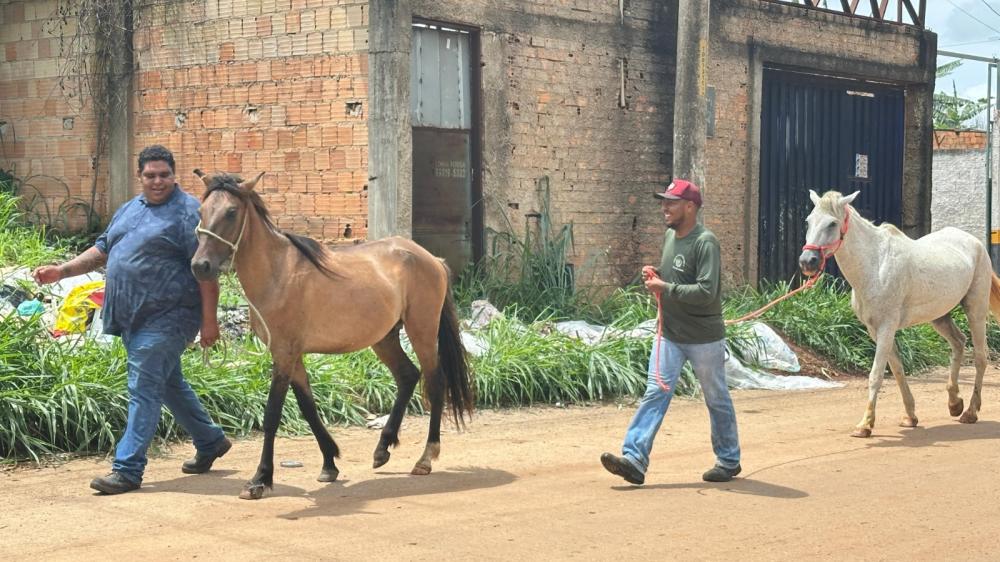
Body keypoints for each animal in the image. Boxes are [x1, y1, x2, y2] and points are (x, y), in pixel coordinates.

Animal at [189, 170, 474, 499]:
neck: (277, 274)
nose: (200, 266)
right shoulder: (292, 356)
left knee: (435, 381)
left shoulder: (284, 354)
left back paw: (426, 458)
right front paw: (329, 464)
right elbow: (309, 408)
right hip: (384, 337)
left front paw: (260, 479)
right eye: (201, 211)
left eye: (231, 212)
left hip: (422, 331)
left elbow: (272, 414)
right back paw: (382, 449)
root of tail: (432, 259)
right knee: (407, 376)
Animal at [799, 190, 1000, 438]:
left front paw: (865, 424)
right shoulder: (875, 329)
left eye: (832, 223)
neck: (875, 266)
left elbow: (876, 374)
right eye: (808, 221)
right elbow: (896, 370)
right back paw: (954, 403)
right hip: (939, 316)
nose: (807, 262)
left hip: (975, 310)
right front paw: (910, 417)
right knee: (959, 343)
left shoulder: (887, 326)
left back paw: (970, 412)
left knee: (981, 356)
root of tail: (976, 242)